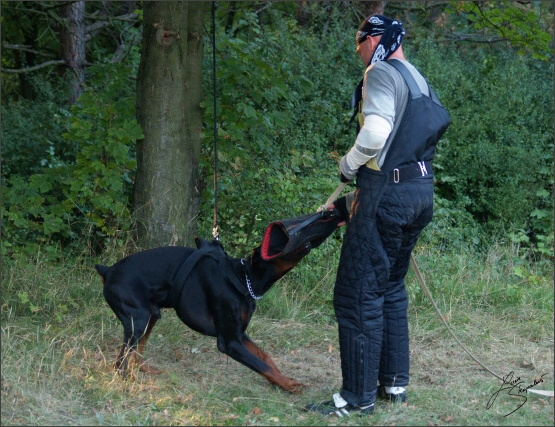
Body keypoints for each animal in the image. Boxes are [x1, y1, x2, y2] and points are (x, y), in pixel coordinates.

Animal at [94, 209, 344, 392]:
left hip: (151, 315)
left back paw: (146, 371)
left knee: (136, 352)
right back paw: (129, 382)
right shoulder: (230, 341)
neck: (244, 279)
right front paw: (288, 386)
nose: (326, 215)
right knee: (121, 361)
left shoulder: (239, 333)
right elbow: (261, 364)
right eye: (280, 234)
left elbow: (266, 357)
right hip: (137, 319)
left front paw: (285, 380)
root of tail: (108, 271)